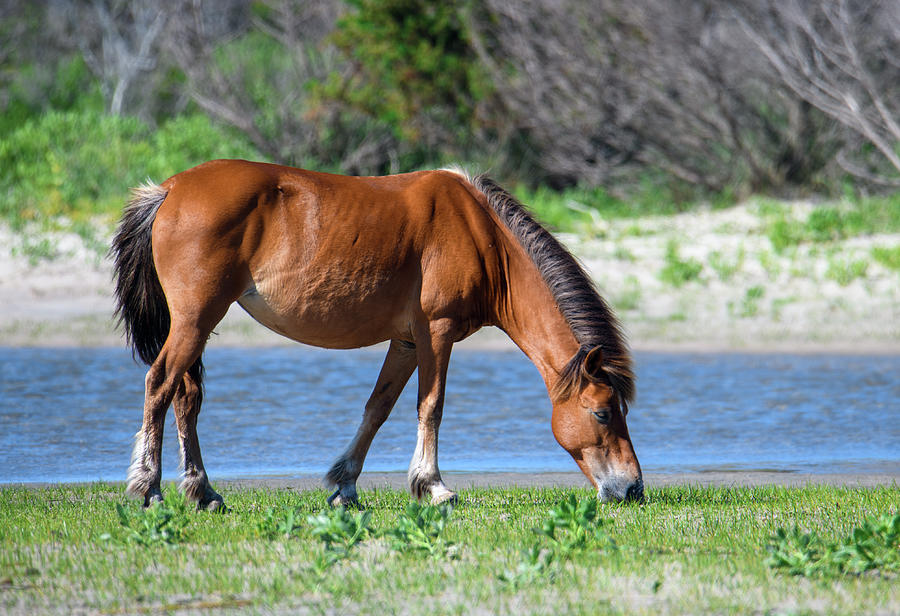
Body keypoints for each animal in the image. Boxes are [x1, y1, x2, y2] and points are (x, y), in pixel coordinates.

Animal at [109, 159, 644, 510]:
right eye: (602, 411)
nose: (633, 488)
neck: (481, 236)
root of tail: (170, 189)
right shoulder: (435, 332)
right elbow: (431, 406)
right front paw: (434, 486)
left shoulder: (406, 341)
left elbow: (378, 408)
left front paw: (345, 485)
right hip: (196, 319)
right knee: (160, 384)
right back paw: (149, 486)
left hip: (196, 325)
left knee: (186, 396)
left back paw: (203, 492)